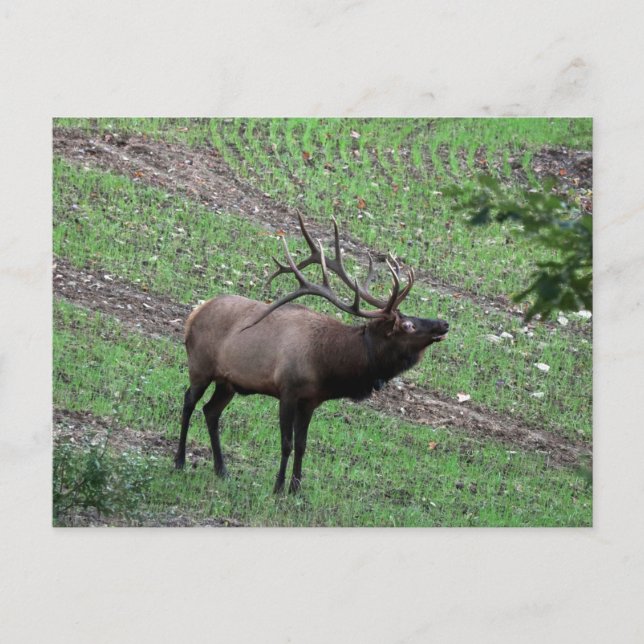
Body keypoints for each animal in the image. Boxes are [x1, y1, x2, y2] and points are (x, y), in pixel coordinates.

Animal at [175, 214, 449, 492]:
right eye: (408, 325)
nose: (444, 323)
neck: (327, 365)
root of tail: (195, 313)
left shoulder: (311, 400)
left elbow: (302, 445)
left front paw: (295, 489)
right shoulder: (287, 390)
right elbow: (286, 443)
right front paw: (278, 488)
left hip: (228, 382)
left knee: (211, 411)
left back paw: (222, 470)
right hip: (200, 366)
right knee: (188, 402)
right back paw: (180, 461)